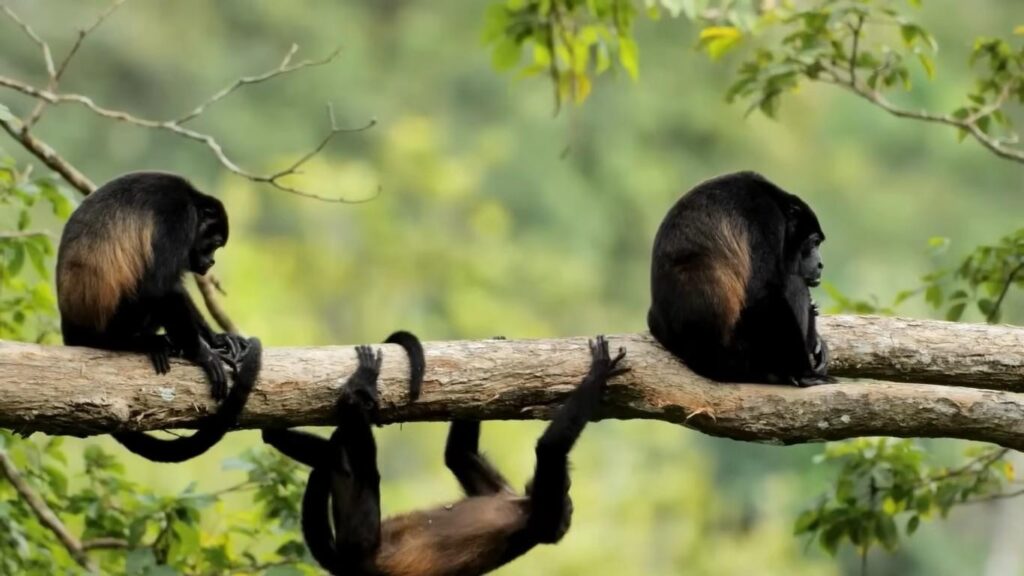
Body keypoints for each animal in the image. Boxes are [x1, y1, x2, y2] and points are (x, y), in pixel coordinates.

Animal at [56, 171, 259, 462]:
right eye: (214, 244)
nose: (211, 262)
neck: (192, 203)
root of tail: (69, 329)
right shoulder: (178, 217)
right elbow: (160, 285)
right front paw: (203, 354)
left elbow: (174, 288)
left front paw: (217, 339)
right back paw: (148, 342)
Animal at [262, 335, 627, 576]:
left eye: (566, 488)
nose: (566, 486)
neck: (524, 506)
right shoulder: (508, 492)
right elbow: (457, 454)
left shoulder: (545, 514)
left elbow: (549, 449)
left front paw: (598, 370)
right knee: (336, 456)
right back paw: (279, 432)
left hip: (361, 541)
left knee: (359, 462)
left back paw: (358, 390)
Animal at [647, 170, 832, 386]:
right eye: (814, 242)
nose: (820, 264)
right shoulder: (765, 215)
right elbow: (763, 292)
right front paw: (804, 373)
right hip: (743, 354)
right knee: (795, 284)